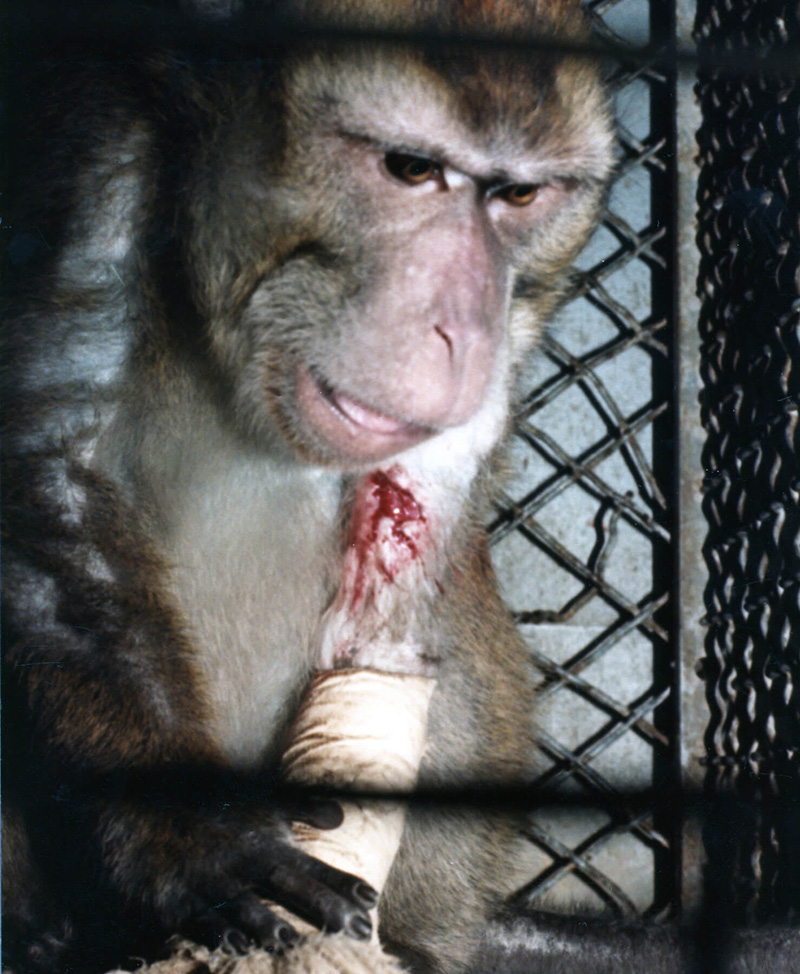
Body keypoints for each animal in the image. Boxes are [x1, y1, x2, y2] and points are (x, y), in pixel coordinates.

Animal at [1, 1, 616, 972]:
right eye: (410, 169)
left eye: (520, 197)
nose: (460, 327)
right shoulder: (98, 145)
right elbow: (50, 457)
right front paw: (190, 832)